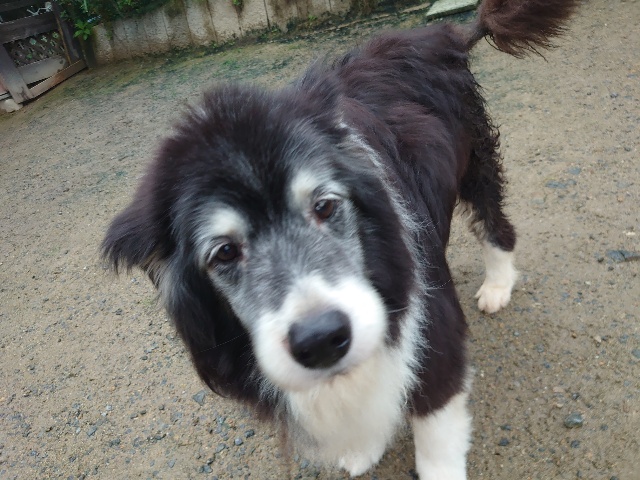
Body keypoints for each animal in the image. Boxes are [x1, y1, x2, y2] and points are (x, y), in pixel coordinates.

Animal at [102, 1, 577, 477]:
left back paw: (497, 285)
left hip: (475, 157)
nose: (320, 339)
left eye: (325, 206)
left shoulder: (431, 321)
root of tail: (444, 35)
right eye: (224, 253)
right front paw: (362, 448)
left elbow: (436, 424)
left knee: (490, 220)